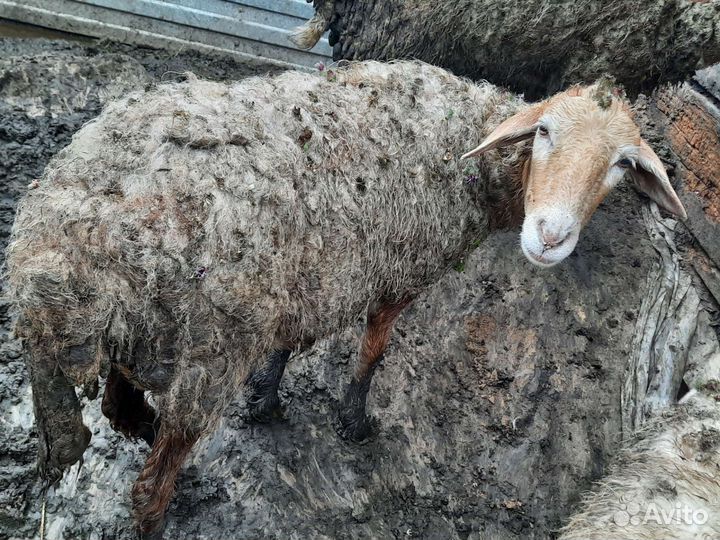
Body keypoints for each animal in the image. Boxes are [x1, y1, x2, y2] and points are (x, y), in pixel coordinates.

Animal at [5, 60, 687, 535]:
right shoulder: (401, 274)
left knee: (119, 403)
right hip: (204, 352)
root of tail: (48, 259)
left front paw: (268, 399)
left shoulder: (318, 272)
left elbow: (293, 340)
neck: (467, 154)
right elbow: (372, 352)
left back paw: (144, 426)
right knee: (150, 488)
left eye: (623, 164)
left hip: (147, 333)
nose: (549, 236)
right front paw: (354, 422)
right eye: (543, 131)